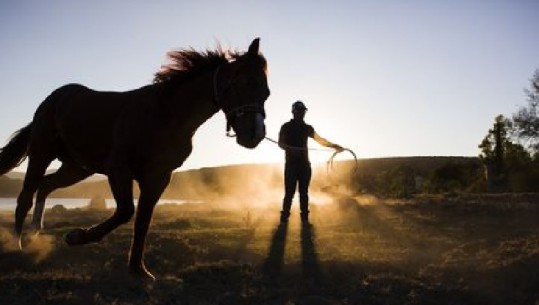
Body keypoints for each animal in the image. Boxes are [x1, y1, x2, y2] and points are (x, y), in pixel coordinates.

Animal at [0, 37, 270, 278]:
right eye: (242, 82)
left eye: (266, 92)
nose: (255, 134)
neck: (163, 116)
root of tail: (53, 99)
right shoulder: (120, 169)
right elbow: (127, 212)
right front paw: (76, 236)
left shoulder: (158, 178)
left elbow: (143, 220)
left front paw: (138, 270)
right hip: (41, 154)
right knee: (25, 197)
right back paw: (18, 245)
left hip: (77, 168)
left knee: (45, 186)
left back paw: (35, 233)